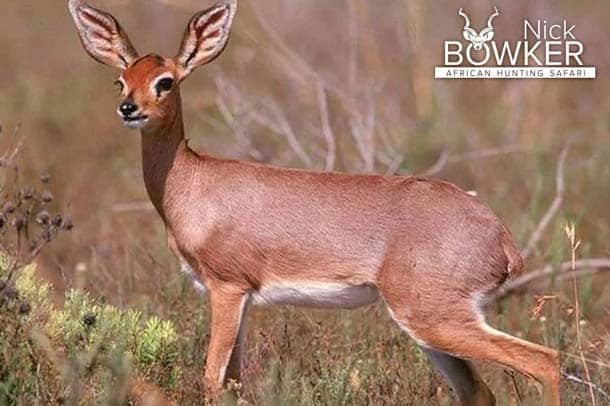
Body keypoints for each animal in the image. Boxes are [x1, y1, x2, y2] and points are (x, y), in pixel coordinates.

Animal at [67, 1, 560, 404]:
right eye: (120, 80)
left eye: (165, 81)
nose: (129, 109)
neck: (192, 181)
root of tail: (502, 238)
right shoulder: (243, 299)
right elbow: (235, 383)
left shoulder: (227, 288)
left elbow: (210, 379)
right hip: (433, 328)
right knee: (479, 391)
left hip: (434, 318)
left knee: (545, 361)